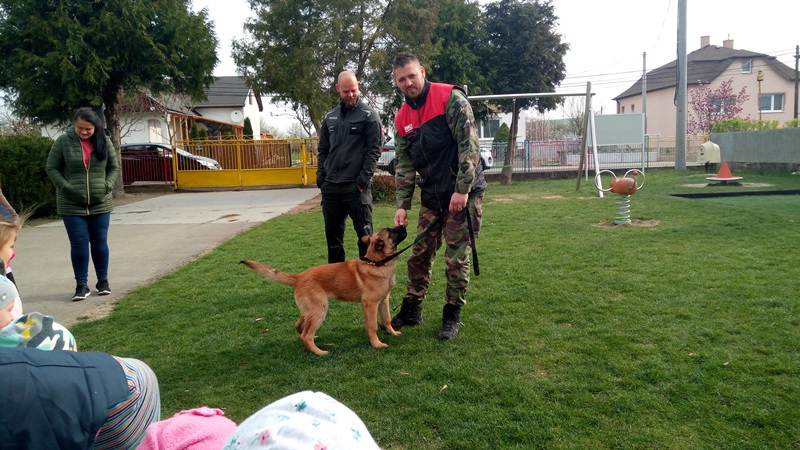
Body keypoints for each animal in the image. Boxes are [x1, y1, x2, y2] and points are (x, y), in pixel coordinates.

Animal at [240, 225, 408, 355]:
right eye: (391, 231)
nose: (404, 225)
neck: (377, 263)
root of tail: (299, 277)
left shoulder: (383, 300)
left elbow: (386, 319)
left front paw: (392, 333)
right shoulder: (370, 304)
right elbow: (372, 326)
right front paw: (376, 344)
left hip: (311, 309)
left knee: (299, 325)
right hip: (320, 309)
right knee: (306, 335)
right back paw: (319, 352)